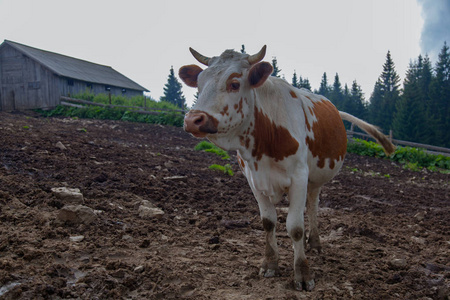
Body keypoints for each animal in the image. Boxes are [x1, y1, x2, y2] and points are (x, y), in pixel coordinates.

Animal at [178, 45, 396, 292]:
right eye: (199, 84)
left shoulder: (299, 178)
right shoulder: (254, 180)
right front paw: (270, 263)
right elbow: (268, 222)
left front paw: (302, 273)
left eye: (234, 83)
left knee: (313, 206)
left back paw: (316, 242)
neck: (264, 142)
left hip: (315, 178)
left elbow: (295, 227)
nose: (193, 119)